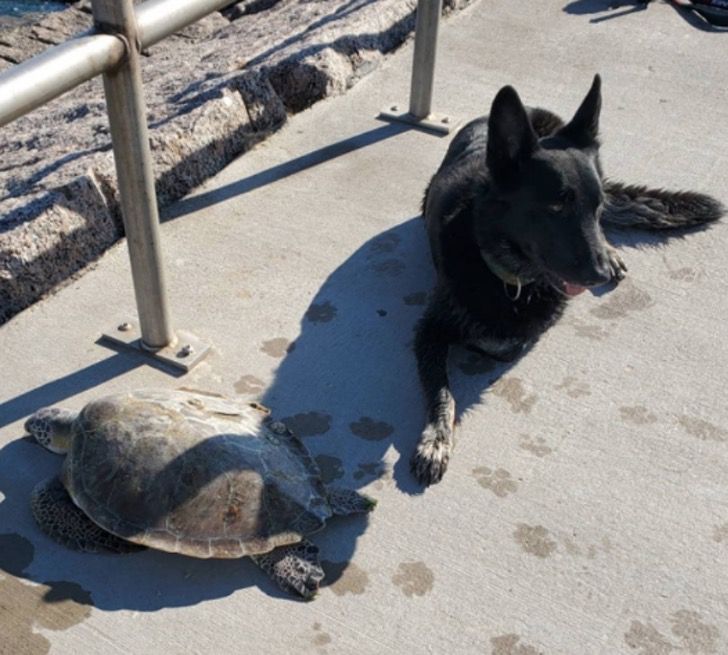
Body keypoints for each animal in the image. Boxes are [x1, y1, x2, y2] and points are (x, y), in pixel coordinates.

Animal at [412, 75, 724, 486]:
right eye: (556, 206)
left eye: (596, 206)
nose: (598, 274)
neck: (510, 276)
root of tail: (530, 109)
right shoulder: (429, 331)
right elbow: (442, 392)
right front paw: (435, 440)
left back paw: (610, 250)